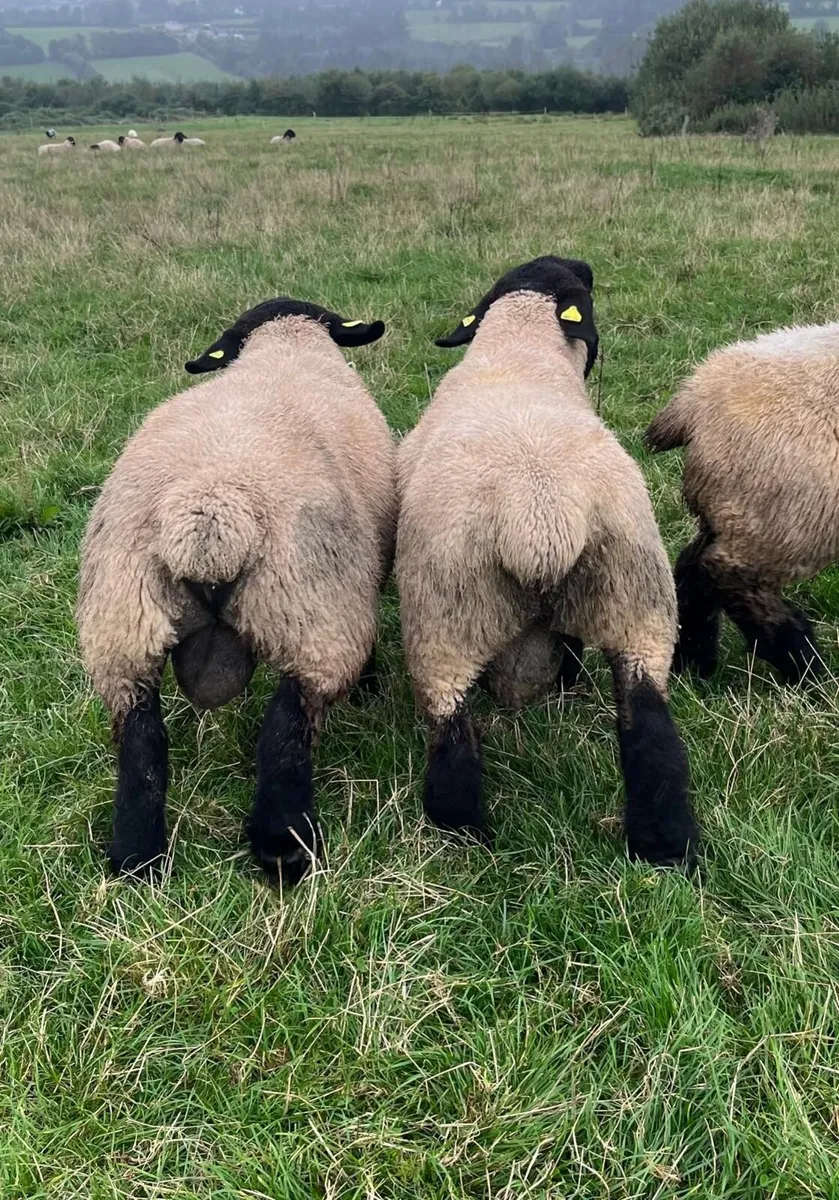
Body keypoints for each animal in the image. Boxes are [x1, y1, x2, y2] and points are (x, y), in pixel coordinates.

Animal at [77, 297, 395, 882]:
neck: (286, 343)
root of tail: (210, 513)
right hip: (316, 615)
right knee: (285, 730)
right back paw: (284, 848)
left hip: (120, 626)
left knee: (141, 743)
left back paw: (137, 858)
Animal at [395, 256, 697, 867]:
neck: (519, 351)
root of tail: (541, 516)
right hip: (637, 601)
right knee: (653, 737)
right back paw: (666, 848)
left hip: (443, 623)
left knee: (453, 752)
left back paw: (466, 847)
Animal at [645, 321, 839, 684]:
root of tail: (694, 399)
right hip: (789, 514)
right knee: (723, 574)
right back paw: (801, 661)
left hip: (736, 505)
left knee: (692, 564)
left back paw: (693, 662)